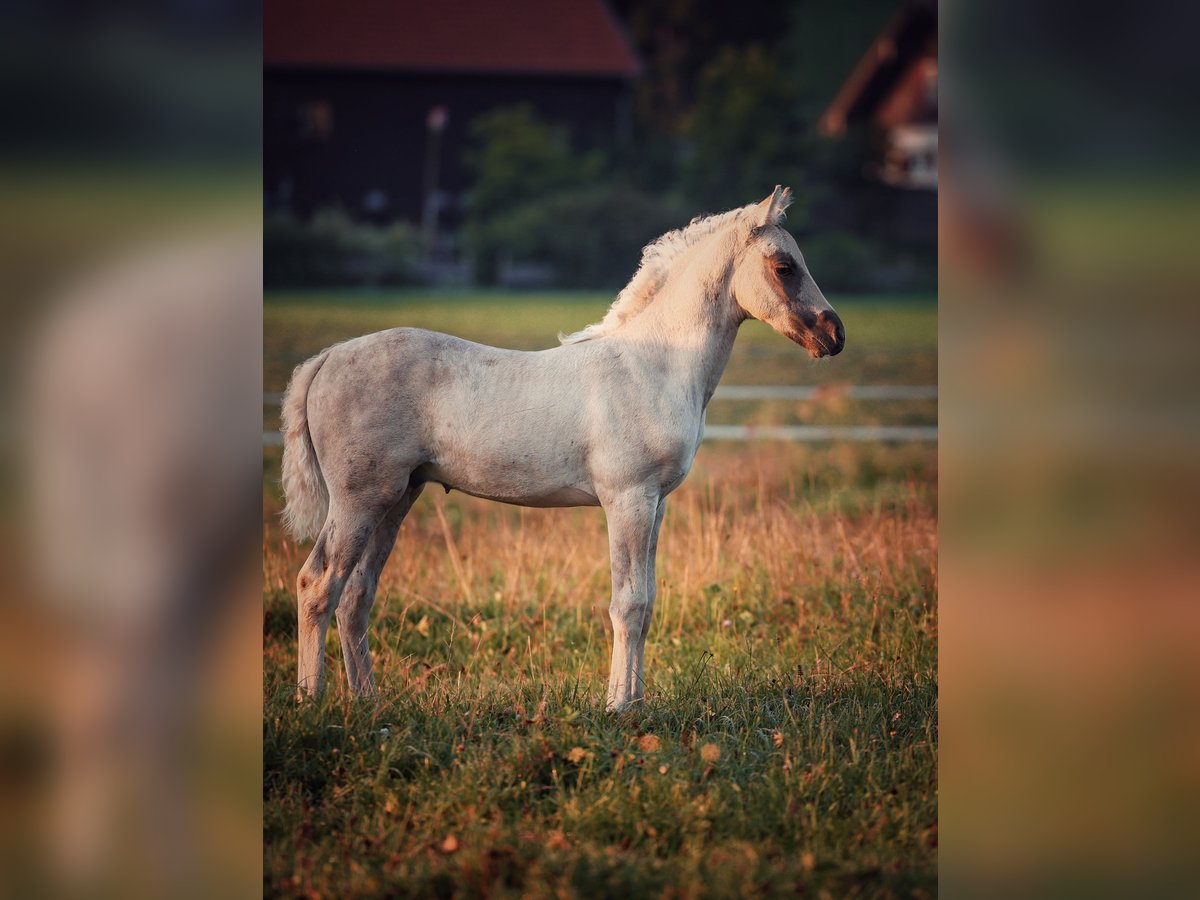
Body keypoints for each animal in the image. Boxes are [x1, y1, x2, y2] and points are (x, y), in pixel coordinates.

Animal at [280, 186, 844, 711]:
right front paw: (618, 705)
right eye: (785, 266)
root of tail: (326, 359)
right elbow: (627, 604)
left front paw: (637, 701)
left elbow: (648, 603)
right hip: (358, 500)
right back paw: (312, 700)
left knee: (356, 594)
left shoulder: (656, 505)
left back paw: (367, 702)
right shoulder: (627, 499)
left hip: (397, 498)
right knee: (318, 585)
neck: (654, 366)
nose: (834, 334)